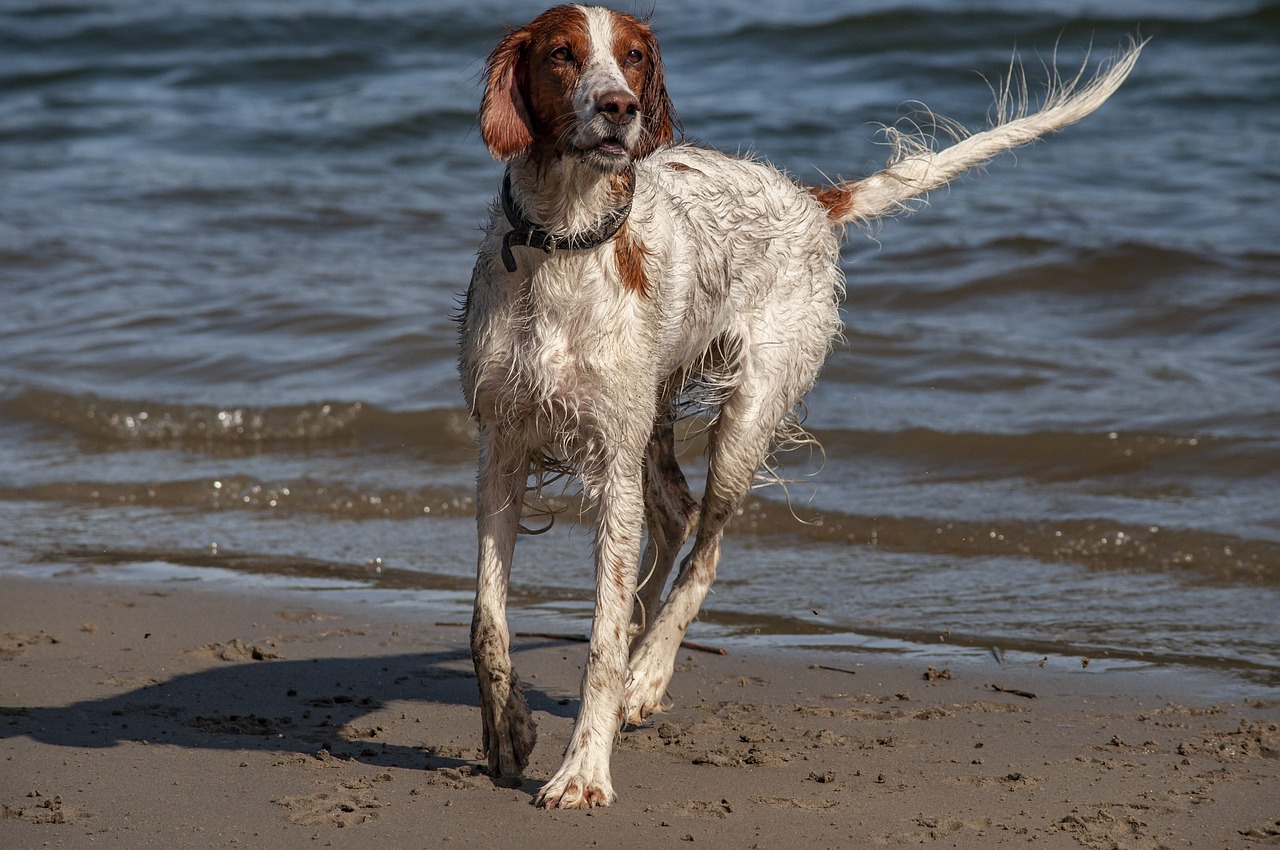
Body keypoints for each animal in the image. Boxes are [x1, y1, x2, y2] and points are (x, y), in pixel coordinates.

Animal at [458, 3, 1141, 809]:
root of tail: (810, 202)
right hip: (654, 418)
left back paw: (646, 673)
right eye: (562, 54)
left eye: (632, 58)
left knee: (705, 549)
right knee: (674, 516)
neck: (564, 242)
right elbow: (488, 619)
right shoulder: (502, 451)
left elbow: (599, 642)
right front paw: (507, 729)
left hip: (742, 421)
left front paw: (583, 772)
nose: (620, 109)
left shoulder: (610, 459)